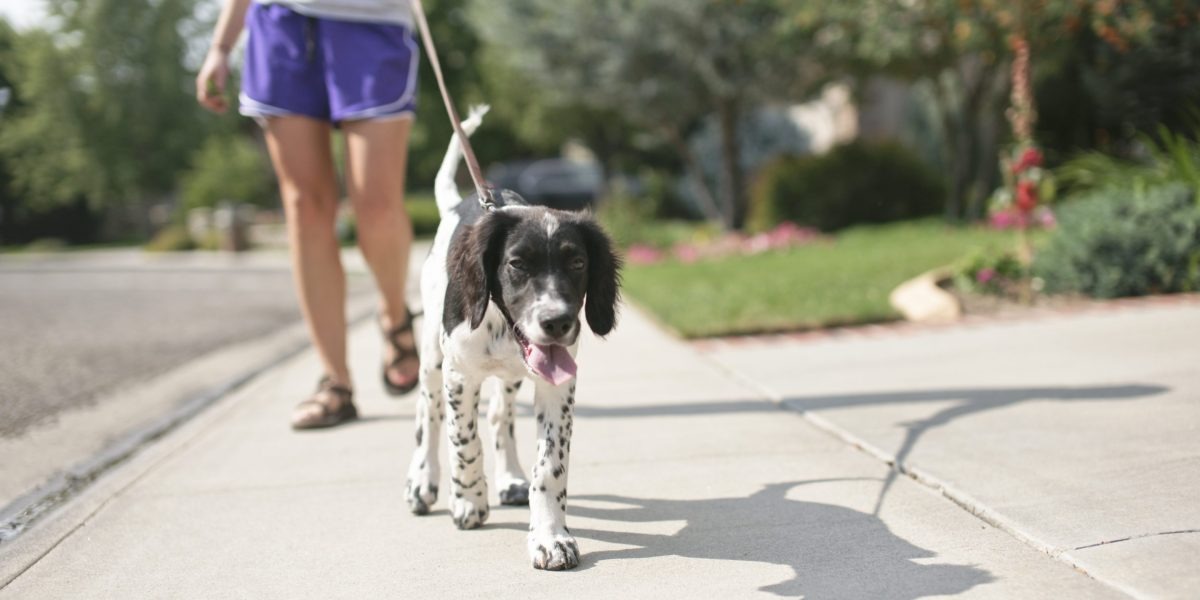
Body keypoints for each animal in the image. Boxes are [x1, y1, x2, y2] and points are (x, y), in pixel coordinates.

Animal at [408, 105, 624, 568]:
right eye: (517, 264)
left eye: (578, 263)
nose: (558, 322)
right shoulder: (459, 375)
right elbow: (463, 440)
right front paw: (468, 500)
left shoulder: (558, 384)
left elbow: (550, 466)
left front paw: (550, 536)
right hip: (432, 358)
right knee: (428, 413)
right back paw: (422, 481)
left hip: (511, 377)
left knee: (499, 416)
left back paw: (508, 478)